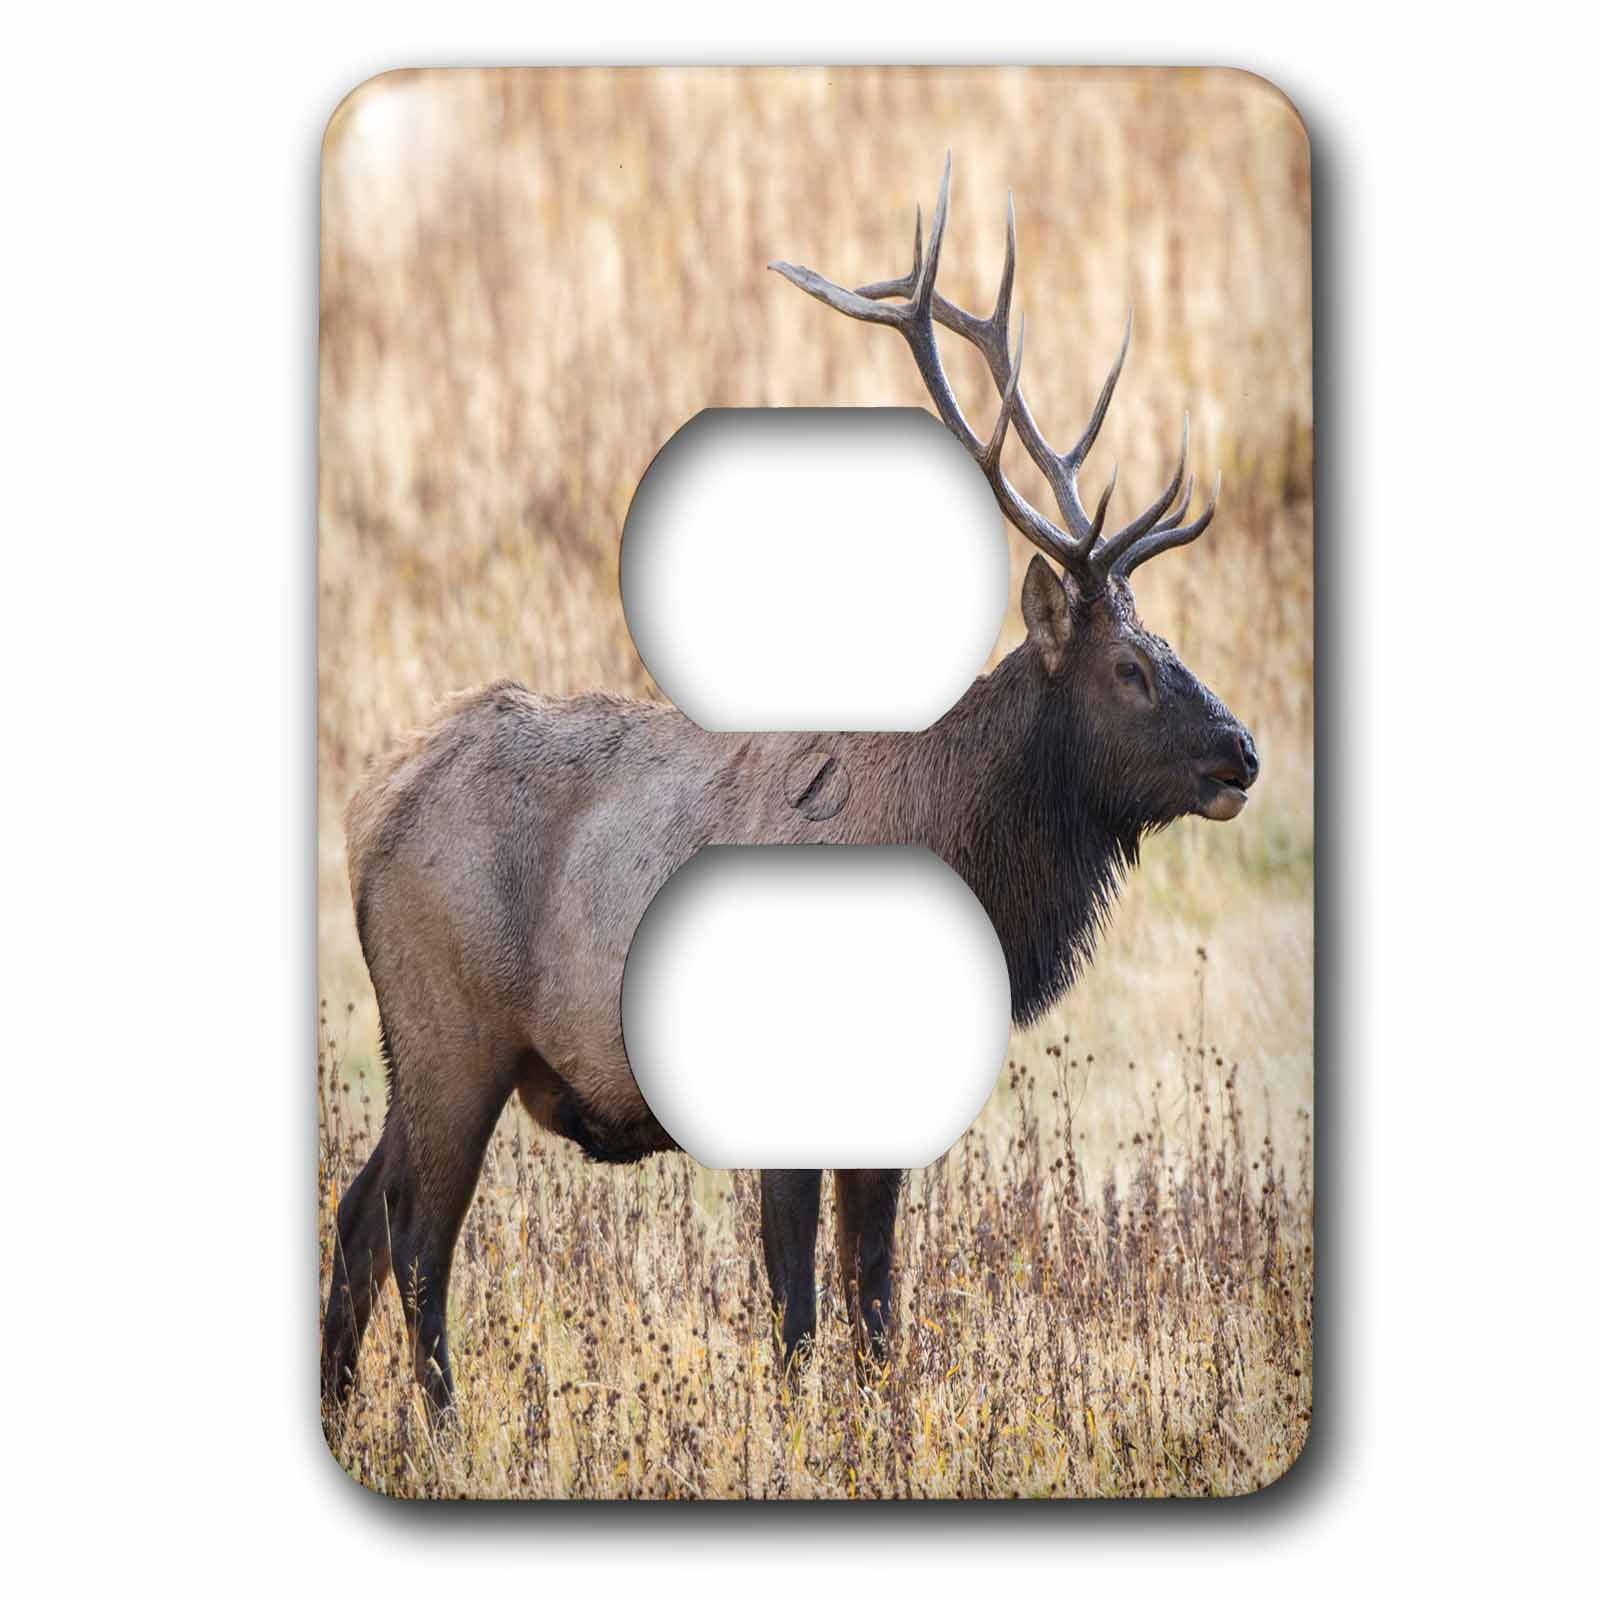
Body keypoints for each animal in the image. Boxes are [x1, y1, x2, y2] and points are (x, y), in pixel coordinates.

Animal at [321, 158, 1259, 1418]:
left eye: (1171, 643)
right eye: (1131, 668)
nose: (1241, 752)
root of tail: (367, 809)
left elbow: (875, 1301)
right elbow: (798, 1307)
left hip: (418, 1051)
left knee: (357, 1216)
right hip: (448, 1034)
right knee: (420, 1239)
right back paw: (443, 1425)